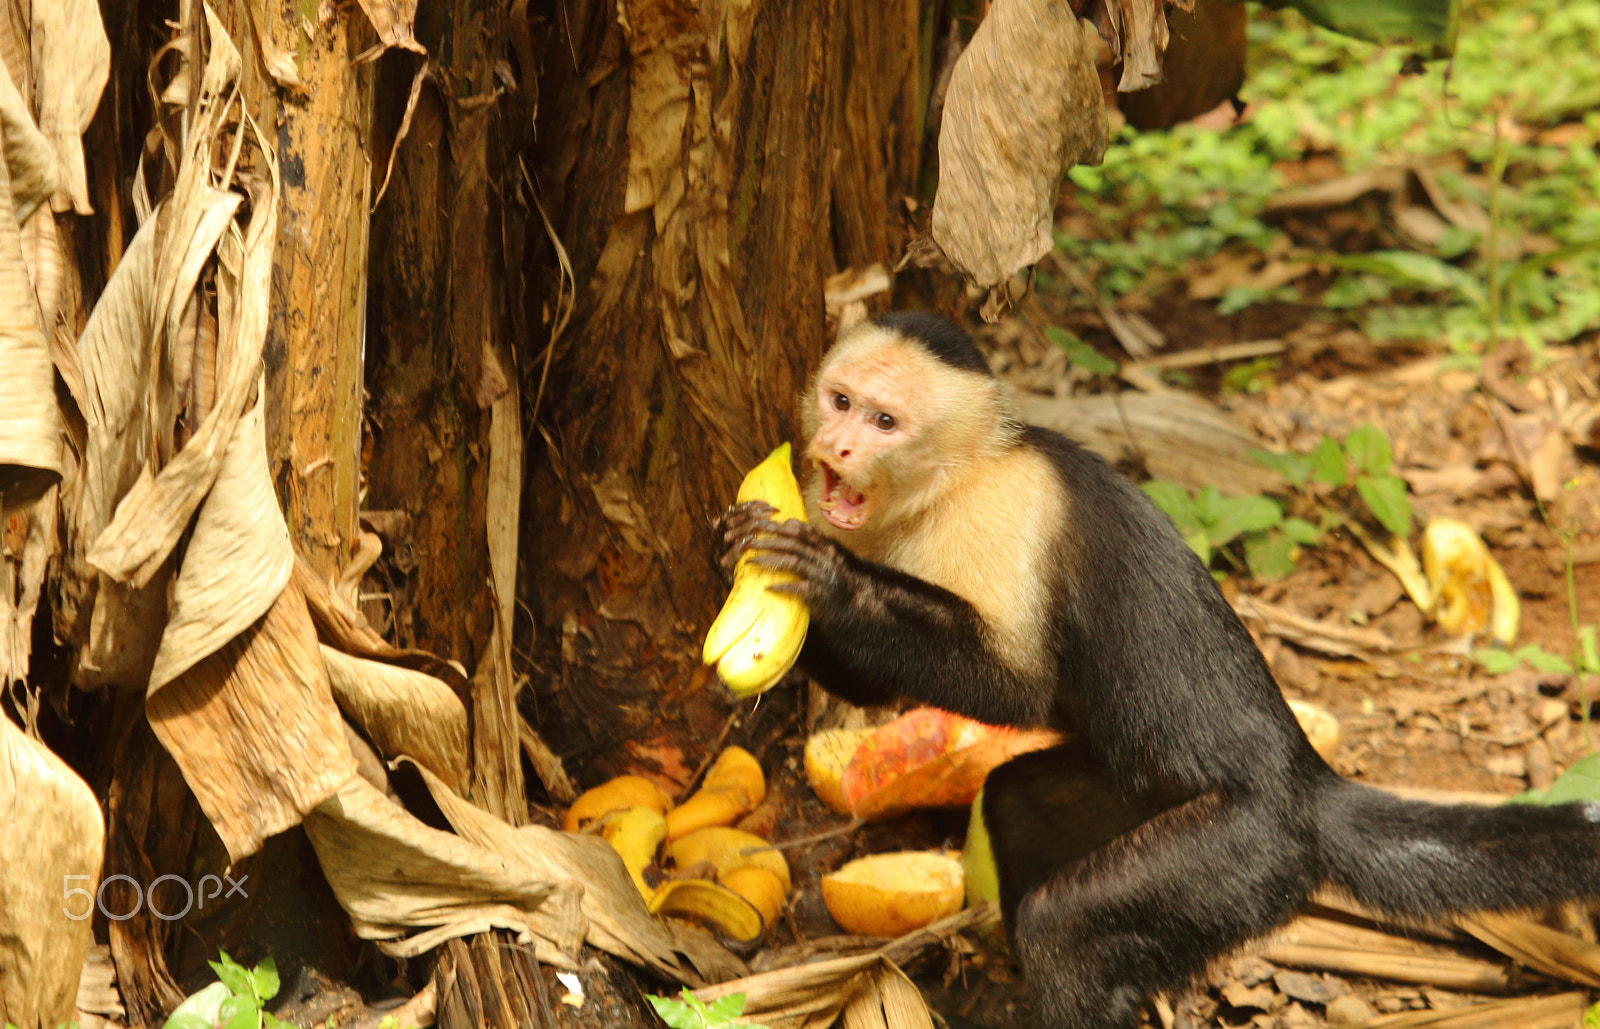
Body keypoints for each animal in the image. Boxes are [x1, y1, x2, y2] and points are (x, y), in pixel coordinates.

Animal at [718, 311, 1600, 1029]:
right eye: (839, 401)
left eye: (885, 420)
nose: (838, 448)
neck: (944, 484)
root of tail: (1308, 782)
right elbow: (870, 686)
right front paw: (735, 549)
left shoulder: (1000, 512)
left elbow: (1012, 684)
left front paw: (835, 580)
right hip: (1135, 795)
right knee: (1019, 803)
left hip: (1244, 847)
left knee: (1070, 928)